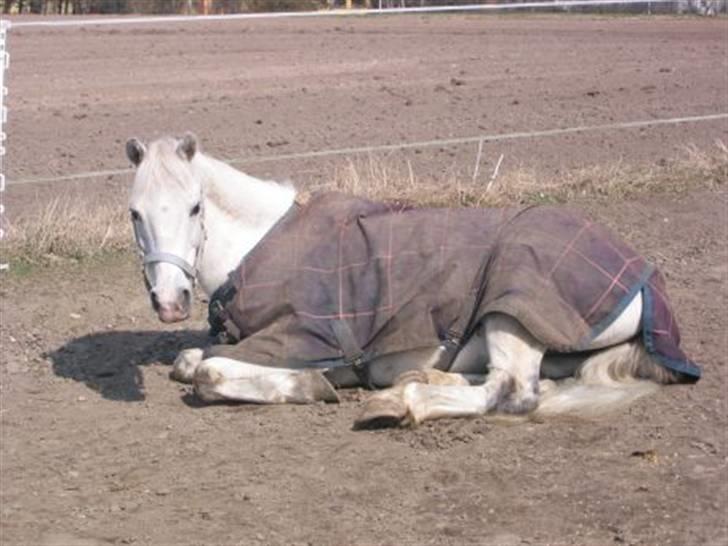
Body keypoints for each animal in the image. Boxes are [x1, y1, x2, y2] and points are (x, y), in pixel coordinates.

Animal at [125, 133, 699, 428]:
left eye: (195, 206)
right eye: (134, 213)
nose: (170, 302)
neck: (262, 242)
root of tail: (646, 280)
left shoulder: (300, 340)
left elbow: (207, 372)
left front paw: (314, 386)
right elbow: (189, 361)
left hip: (511, 311)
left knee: (512, 391)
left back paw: (403, 401)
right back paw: (420, 379)